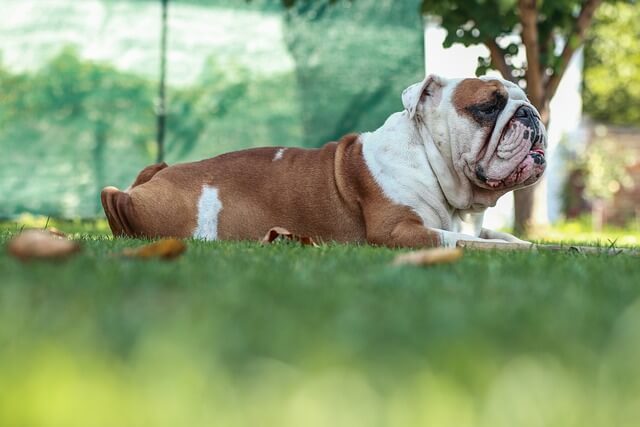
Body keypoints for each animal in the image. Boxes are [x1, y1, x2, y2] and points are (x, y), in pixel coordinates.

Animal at [102, 74, 548, 247]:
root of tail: (161, 171)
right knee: (112, 197)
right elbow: (470, 243)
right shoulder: (399, 231)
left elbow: (505, 238)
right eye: (488, 107)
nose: (531, 113)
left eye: (524, 99)